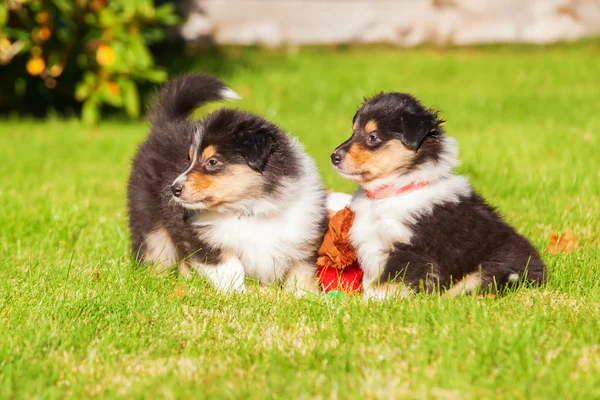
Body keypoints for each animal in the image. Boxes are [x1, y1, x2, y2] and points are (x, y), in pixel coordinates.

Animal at [126, 74, 328, 294]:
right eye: (189, 159)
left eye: (212, 162)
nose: (174, 189)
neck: (250, 208)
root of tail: (167, 124)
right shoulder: (202, 237)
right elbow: (230, 266)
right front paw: (238, 294)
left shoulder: (304, 239)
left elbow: (301, 274)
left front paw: (303, 296)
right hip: (149, 219)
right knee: (155, 250)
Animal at [330, 94, 548, 298]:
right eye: (353, 131)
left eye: (373, 137)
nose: (333, 157)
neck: (392, 192)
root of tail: (542, 273)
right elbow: (370, 282)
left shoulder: (409, 250)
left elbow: (385, 285)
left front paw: (368, 303)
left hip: (490, 269)